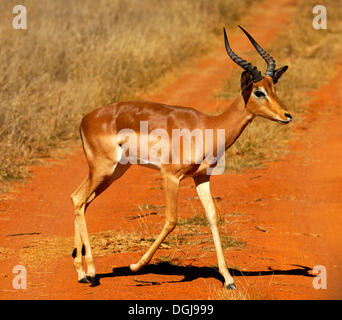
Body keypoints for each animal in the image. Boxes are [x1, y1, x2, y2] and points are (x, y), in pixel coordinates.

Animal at [71, 26, 292, 288]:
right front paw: (135, 266)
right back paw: (92, 273)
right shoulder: (170, 176)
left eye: (274, 89)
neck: (208, 126)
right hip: (103, 169)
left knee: (80, 201)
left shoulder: (202, 177)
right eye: (258, 92)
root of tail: (85, 119)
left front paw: (228, 279)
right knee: (79, 199)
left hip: (113, 172)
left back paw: (82, 272)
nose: (287, 115)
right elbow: (171, 219)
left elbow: (212, 216)